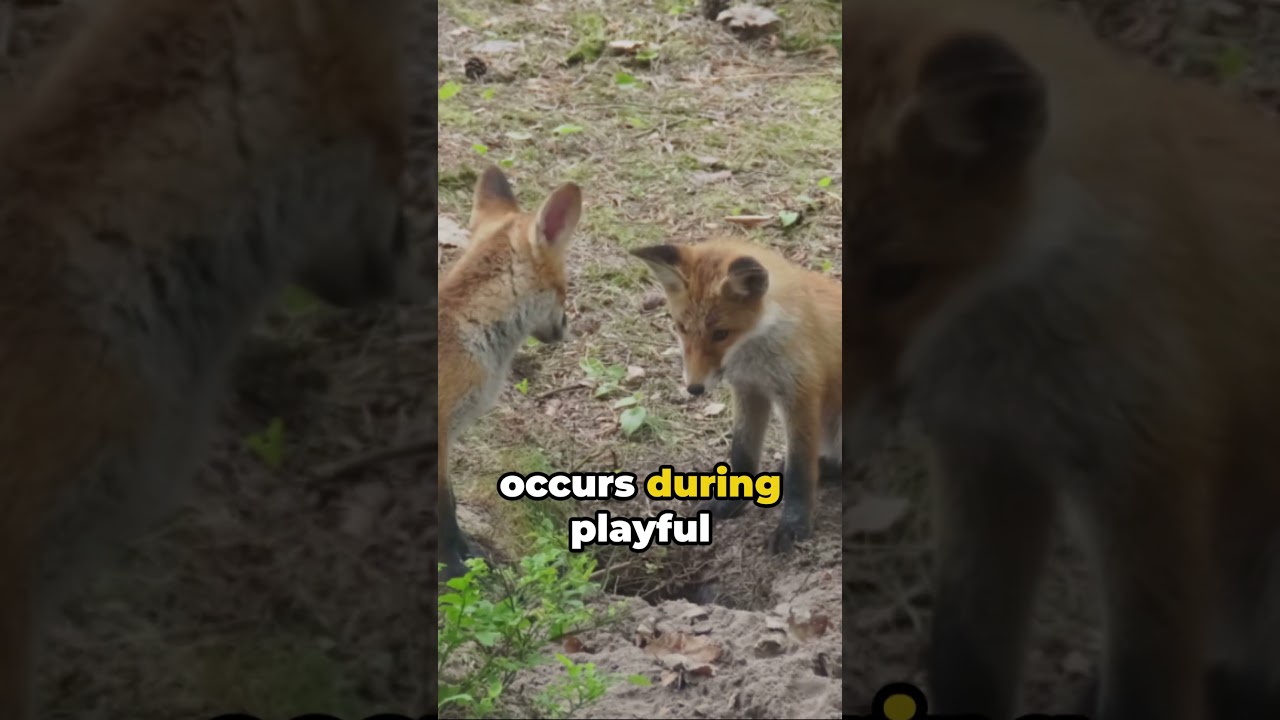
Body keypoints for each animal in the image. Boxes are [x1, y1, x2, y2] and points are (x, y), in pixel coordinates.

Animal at [438, 165, 582, 583]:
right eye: (564, 289)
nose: (566, 330)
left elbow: (453, 505)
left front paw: (469, 554)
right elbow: (442, 512)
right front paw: (453, 570)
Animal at [630, 238, 842, 552]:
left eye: (721, 334)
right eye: (682, 328)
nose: (694, 388)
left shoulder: (800, 395)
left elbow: (799, 472)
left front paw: (794, 525)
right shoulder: (748, 389)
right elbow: (742, 453)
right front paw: (732, 502)